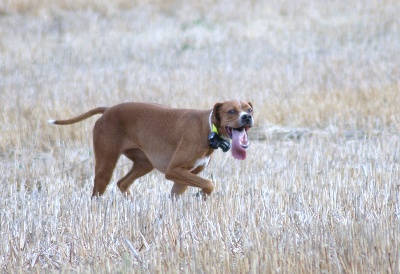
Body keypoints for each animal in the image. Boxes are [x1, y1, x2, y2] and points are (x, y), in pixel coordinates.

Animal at [48, 100, 255, 197]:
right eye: (231, 111)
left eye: (249, 109)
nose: (247, 117)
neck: (208, 127)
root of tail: (108, 110)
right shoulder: (174, 170)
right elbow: (209, 184)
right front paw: (202, 195)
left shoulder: (184, 177)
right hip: (105, 165)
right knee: (97, 193)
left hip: (144, 163)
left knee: (123, 183)